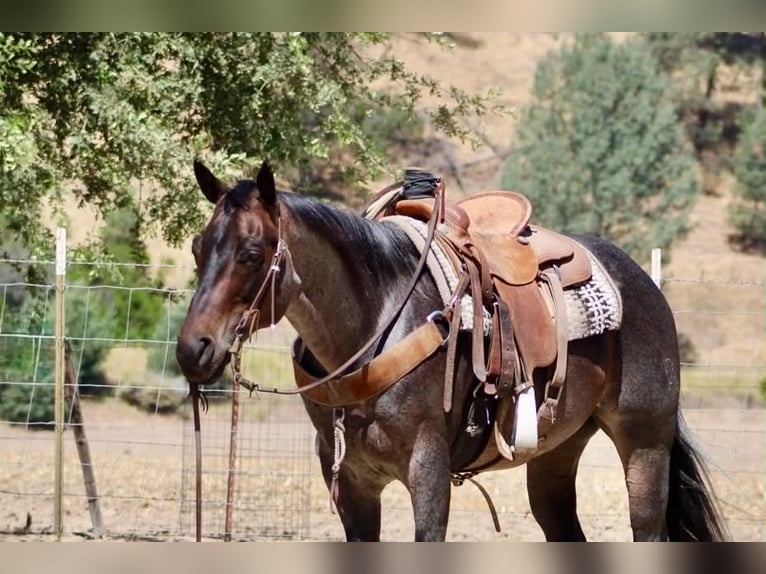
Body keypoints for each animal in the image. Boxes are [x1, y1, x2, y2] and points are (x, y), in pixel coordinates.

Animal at [175, 160, 727, 542]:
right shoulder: (351, 485)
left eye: (251, 254)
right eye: (197, 248)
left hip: (645, 446)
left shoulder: (429, 472)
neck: (376, 318)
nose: (192, 350)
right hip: (556, 453)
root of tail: (645, 284)